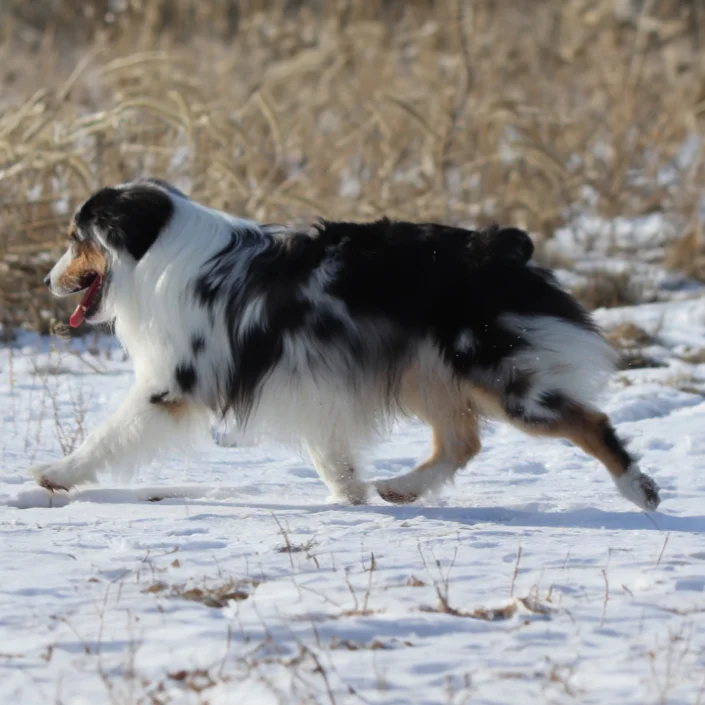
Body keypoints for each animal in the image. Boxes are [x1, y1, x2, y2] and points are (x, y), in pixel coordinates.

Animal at [31, 179, 660, 508]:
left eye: (75, 240)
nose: (45, 281)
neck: (156, 252)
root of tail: (499, 249)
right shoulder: (307, 376)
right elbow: (327, 448)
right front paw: (350, 492)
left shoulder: (171, 384)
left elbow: (109, 436)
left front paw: (57, 474)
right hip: (428, 372)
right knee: (461, 443)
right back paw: (401, 488)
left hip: (499, 376)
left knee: (590, 422)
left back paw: (638, 488)